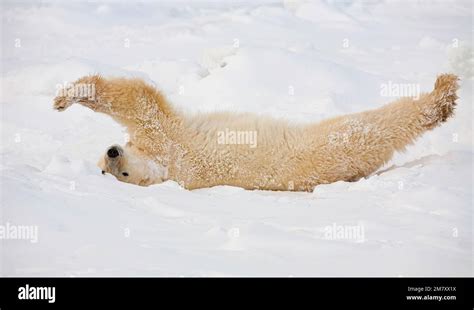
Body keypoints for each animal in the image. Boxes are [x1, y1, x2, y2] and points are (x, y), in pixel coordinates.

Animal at [52, 75, 460, 191]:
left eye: (117, 168)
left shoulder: (167, 142)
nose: (112, 152)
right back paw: (442, 97)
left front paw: (66, 96)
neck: (168, 169)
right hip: (338, 146)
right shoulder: (172, 147)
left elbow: (138, 101)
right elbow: (142, 102)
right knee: (378, 125)